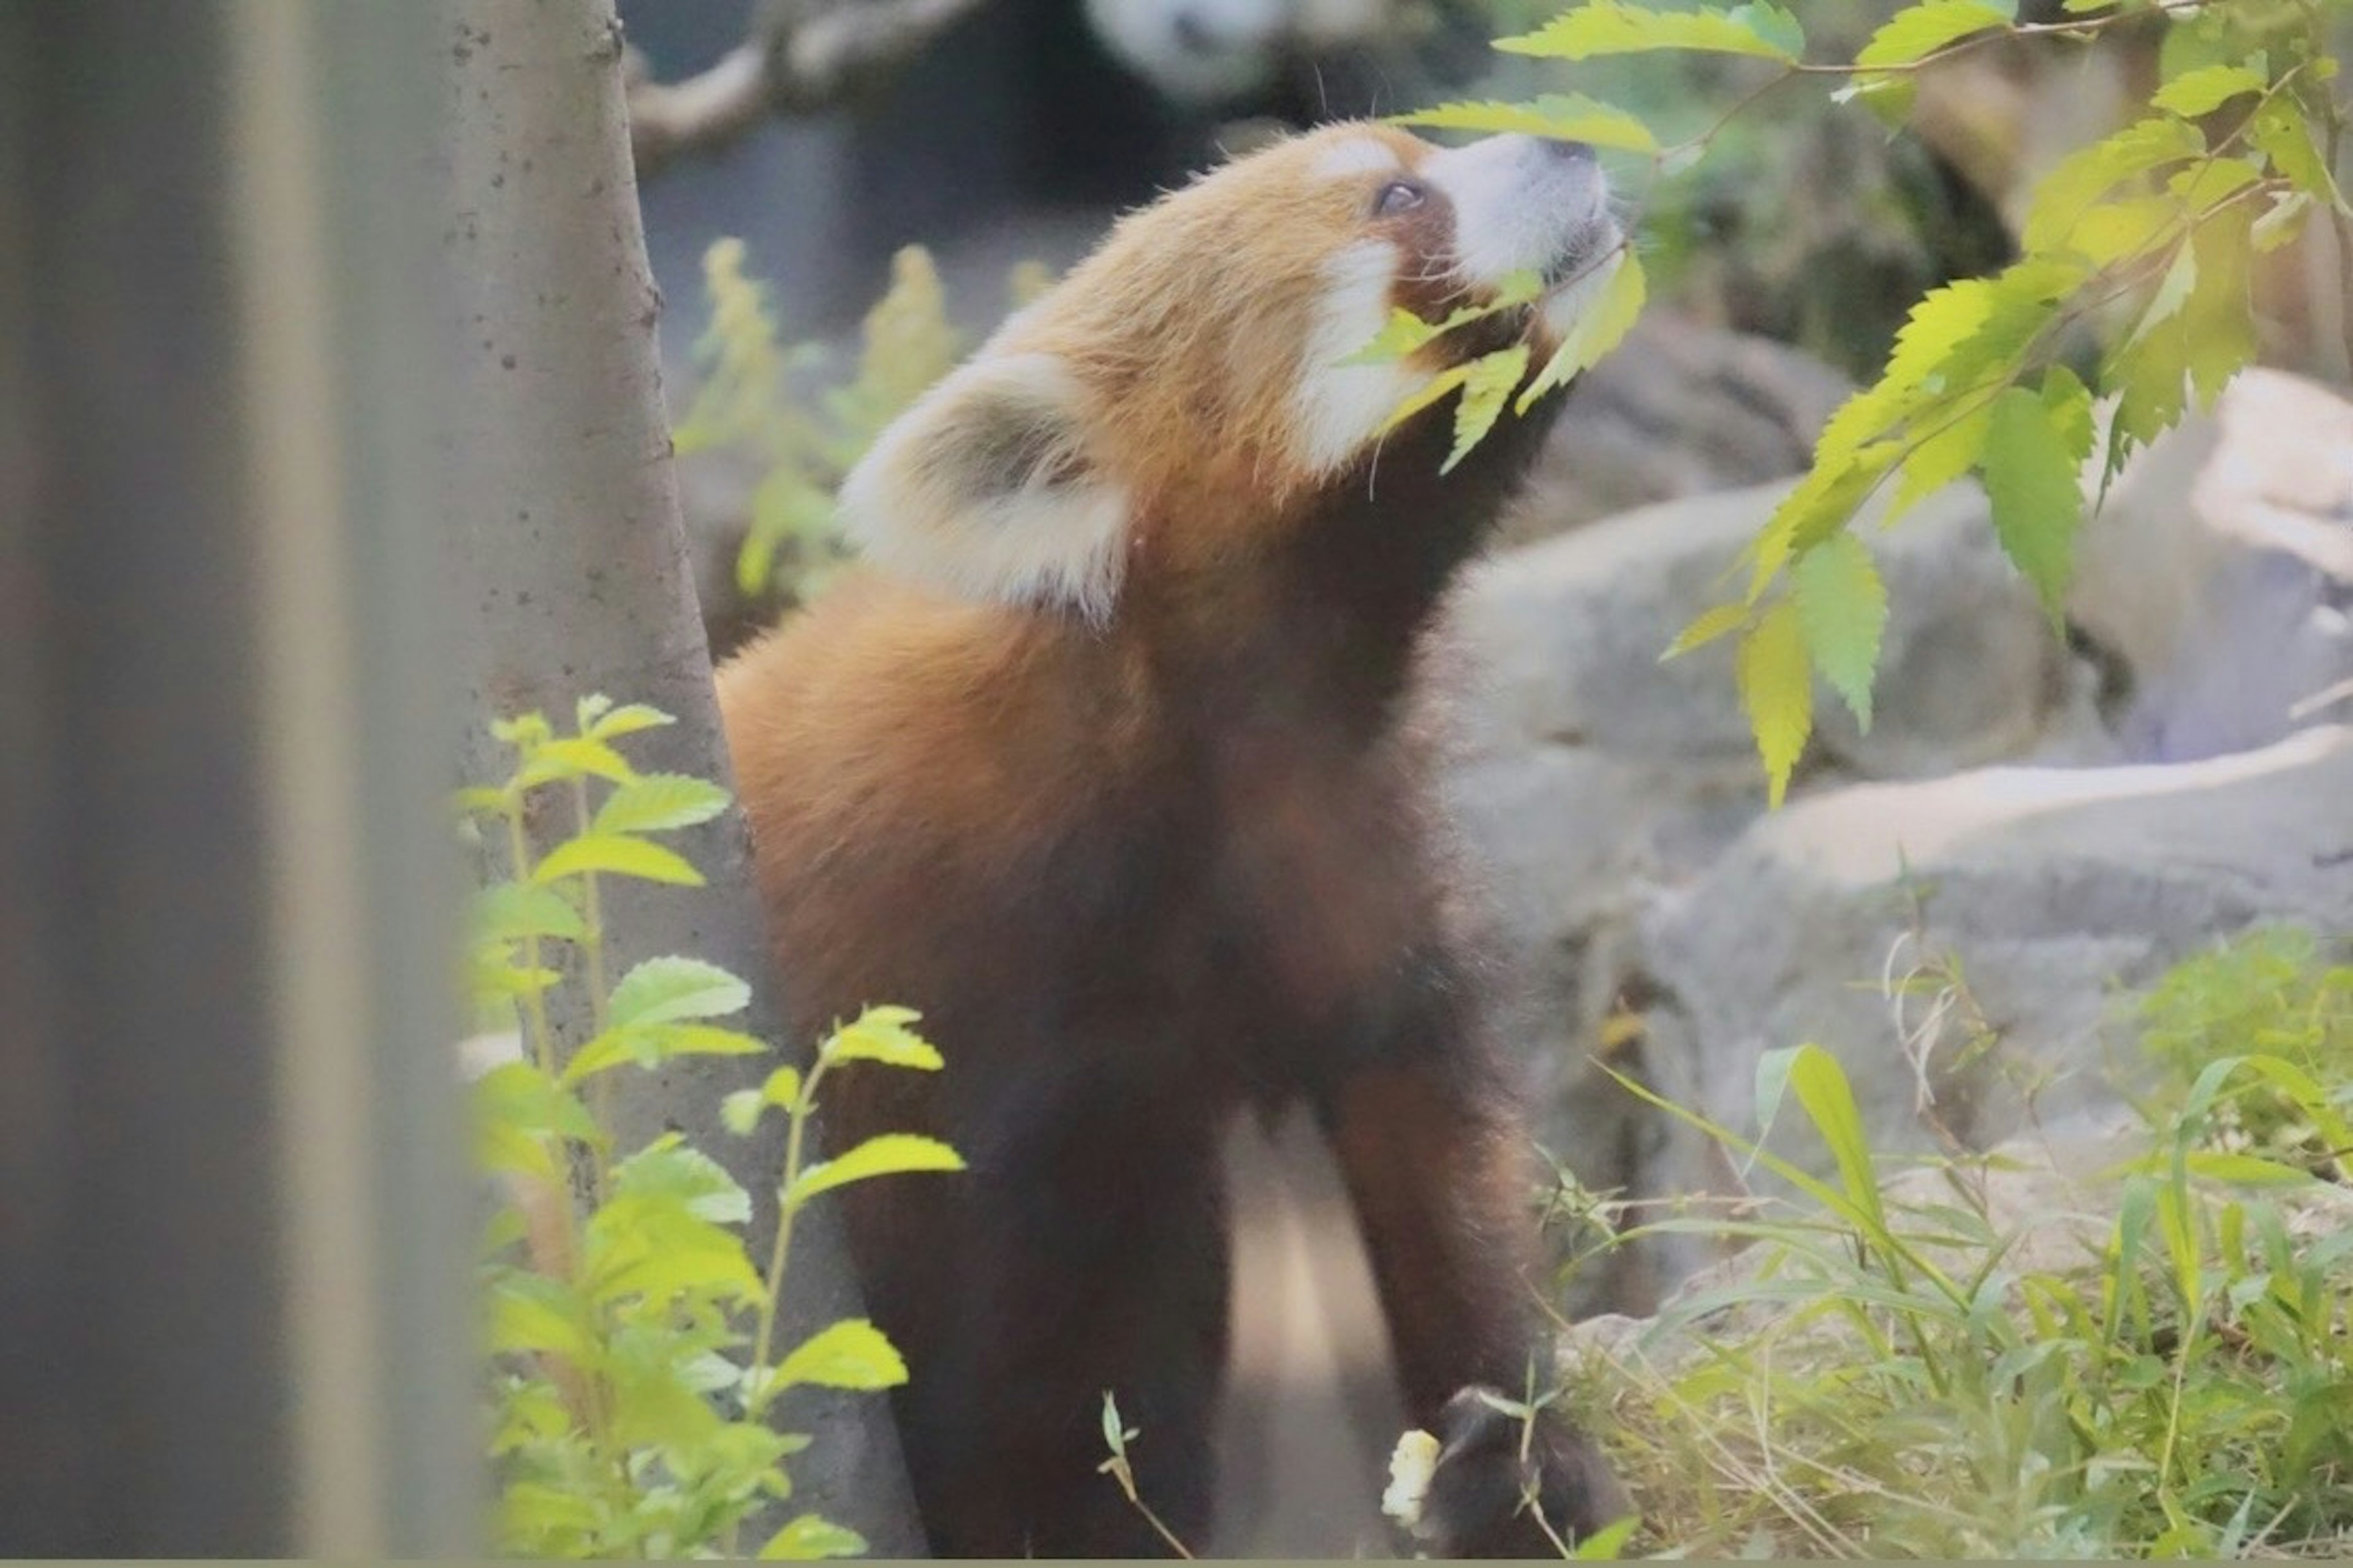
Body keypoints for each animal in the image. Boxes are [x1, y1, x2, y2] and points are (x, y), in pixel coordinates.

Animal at [715, 122, 1628, 1553]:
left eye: (1420, 144)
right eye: (1398, 195)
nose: (1570, 138)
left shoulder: (1359, 875)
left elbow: (1437, 1180)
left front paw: (1517, 1461)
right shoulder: (1013, 1037)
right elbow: (1049, 1390)